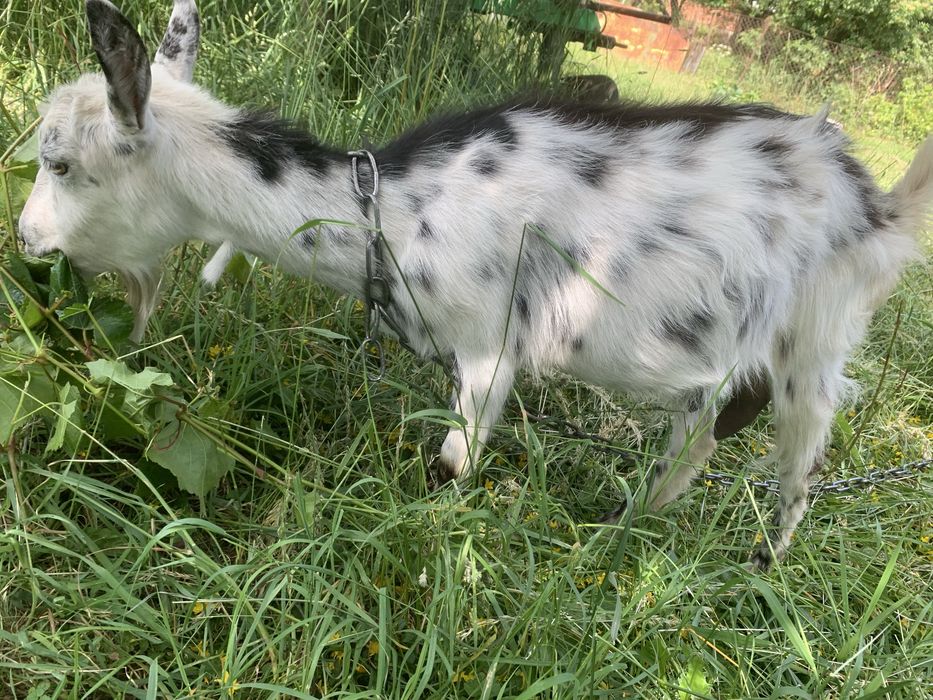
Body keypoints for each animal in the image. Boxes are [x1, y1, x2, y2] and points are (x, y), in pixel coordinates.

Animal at [18, 0, 933, 568]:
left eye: (59, 163)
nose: (26, 241)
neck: (395, 212)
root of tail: (877, 205)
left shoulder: (490, 349)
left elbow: (451, 466)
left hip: (816, 341)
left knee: (798, 469)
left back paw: (758, 563)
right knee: (703, 426)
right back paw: (624, 524)